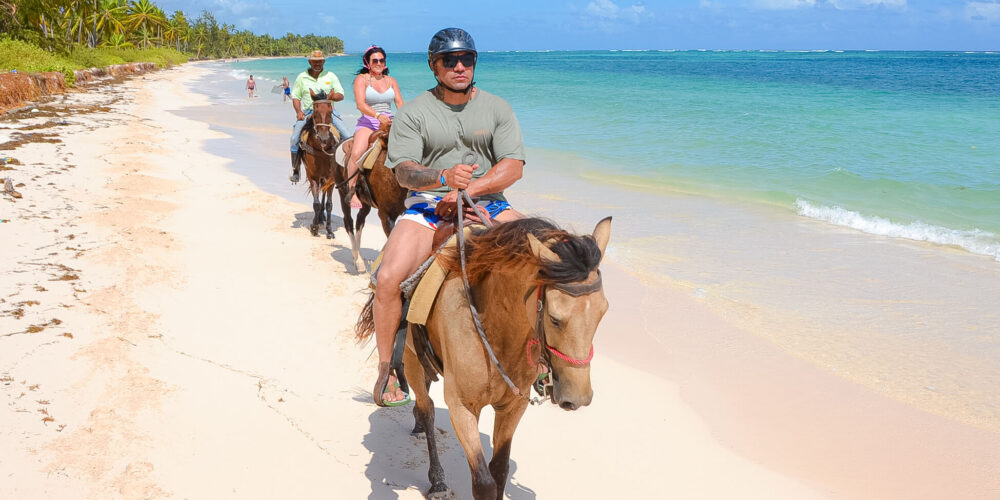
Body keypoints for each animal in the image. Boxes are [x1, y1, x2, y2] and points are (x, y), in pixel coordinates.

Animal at [298, 89, 342, 238]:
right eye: (315, 112)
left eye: (330, 111)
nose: (323, 138)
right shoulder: (313, 177)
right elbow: (316, 203)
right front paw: (314, 227)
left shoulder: (331, 178)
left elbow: (329, 204)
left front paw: (329, 230)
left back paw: (322, 218)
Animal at [356, 217, 612, 498]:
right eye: (555, 319)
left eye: (603, 312)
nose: (578, 398)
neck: (496, 331)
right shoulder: (462, 408)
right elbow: (484, 482)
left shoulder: (513, 407)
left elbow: (499, 470)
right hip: (411, 358)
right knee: (427, 408)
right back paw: (437, 478)